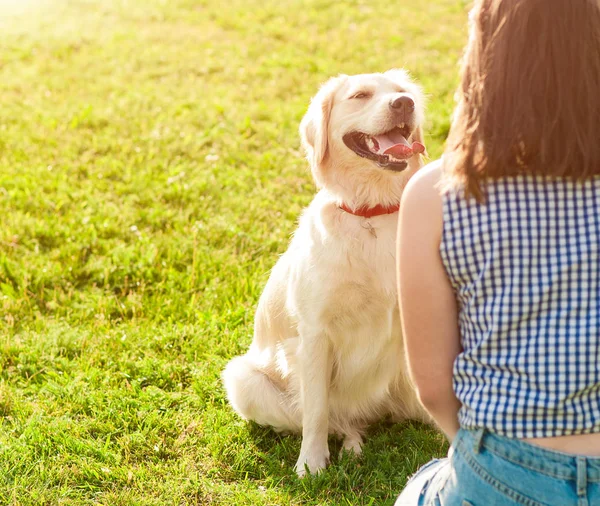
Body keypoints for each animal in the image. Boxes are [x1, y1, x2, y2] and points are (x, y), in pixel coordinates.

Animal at [223, 70, 428, 474]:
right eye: (360, 95)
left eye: (402, 92)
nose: (404, 104)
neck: (372, 215)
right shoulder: (315, 333)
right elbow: (316, 411)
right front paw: (311, 464)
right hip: (243, 380)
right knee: (335, 419)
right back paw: (350, 442)